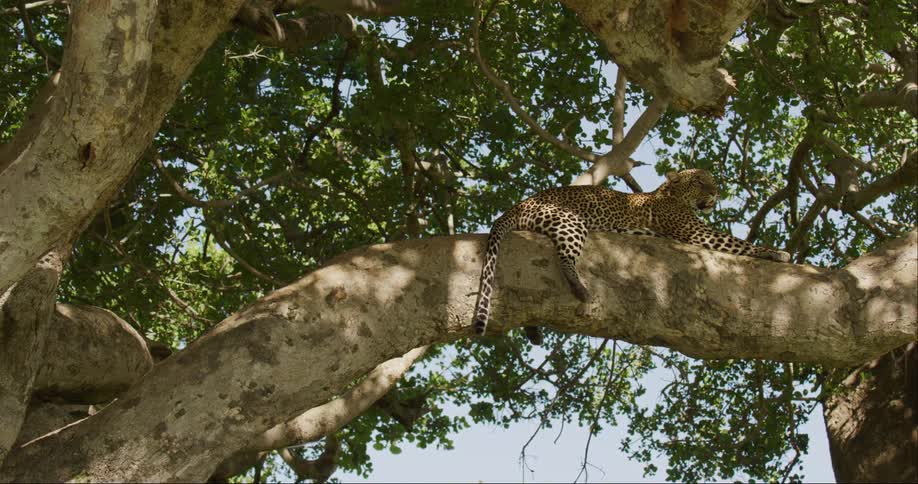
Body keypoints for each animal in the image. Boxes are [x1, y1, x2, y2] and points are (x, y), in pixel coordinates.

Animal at [472, 168, 791, 343]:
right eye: (700, 181)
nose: (716, 192)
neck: (670, 194)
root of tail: (515, 206)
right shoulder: (697, 232)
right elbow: (738, 243)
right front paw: (777, 253)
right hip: (569, 221)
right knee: (565, 257)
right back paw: (580, 288)